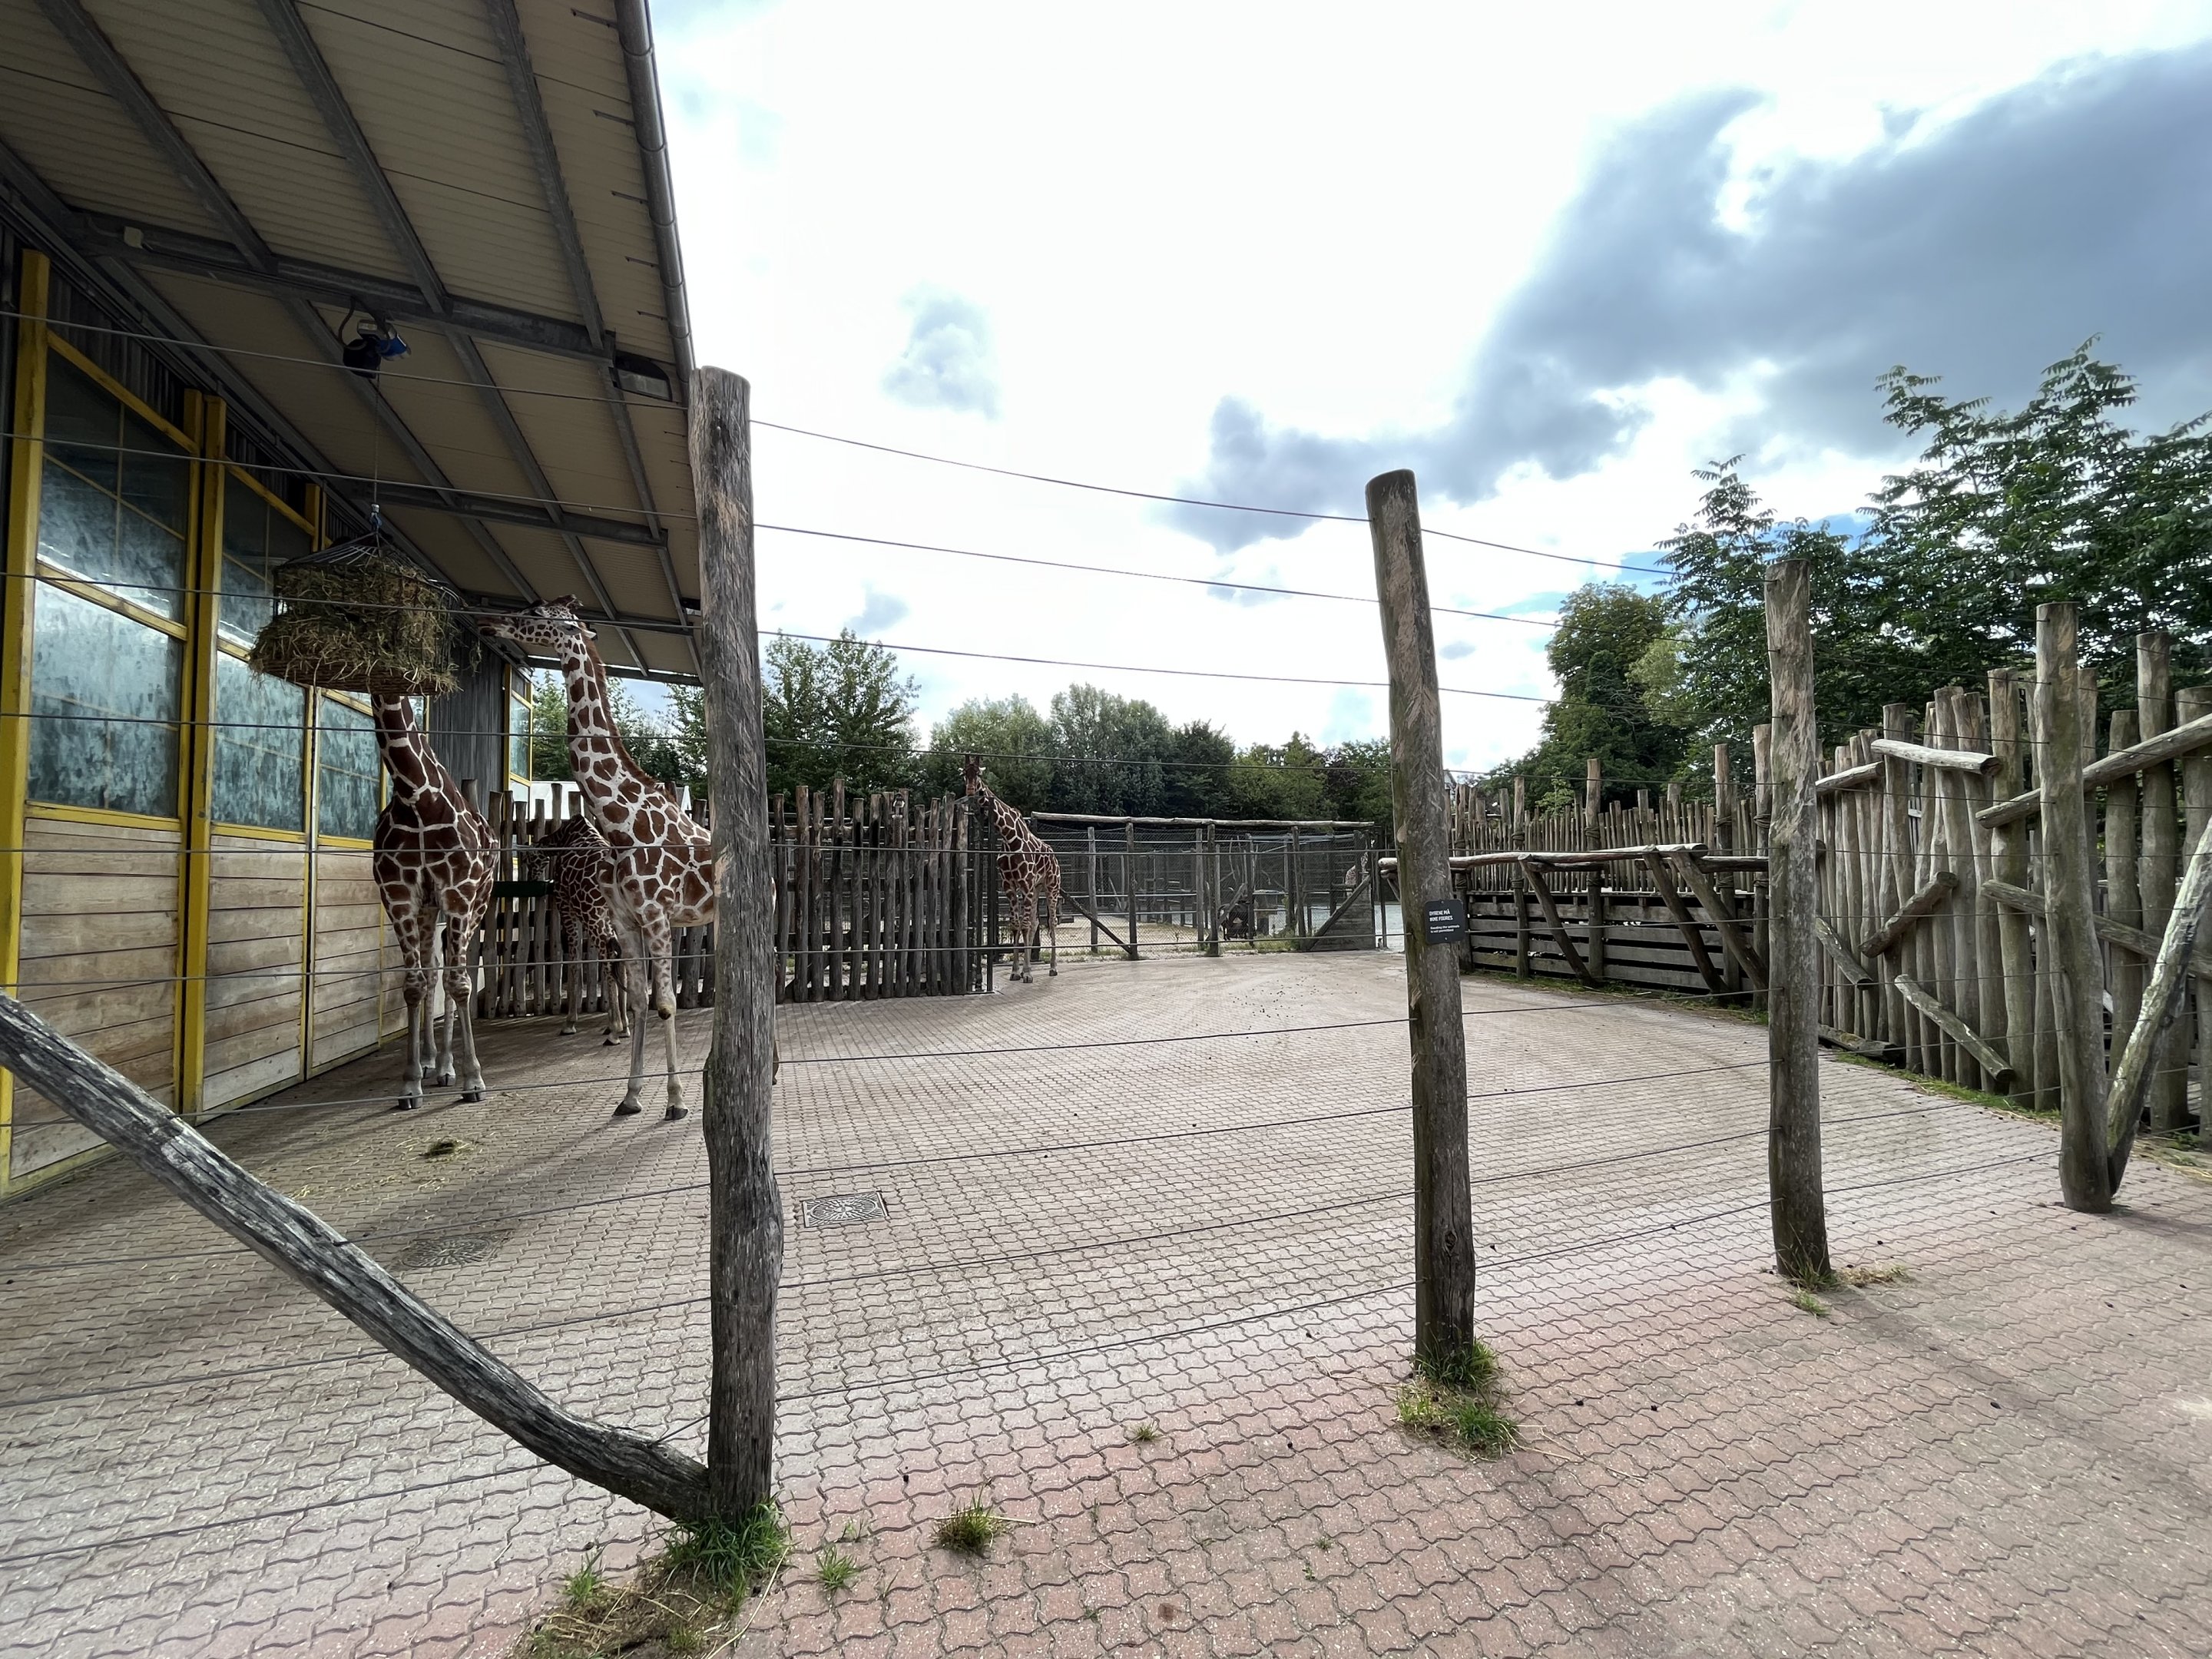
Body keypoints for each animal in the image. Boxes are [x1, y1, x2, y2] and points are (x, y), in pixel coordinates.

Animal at [370, 694, 496, 1109]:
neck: (416, 797)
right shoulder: (398, 893)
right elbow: (414, 983)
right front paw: (409, 1084)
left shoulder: (458, 889)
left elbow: (460, 983)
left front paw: (473, 1079)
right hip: (428, 909)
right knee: (431, 968)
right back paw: (429, 1062)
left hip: (478, 902)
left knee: (455, 970)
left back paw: (446, 1066)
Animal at [517, 811, 629, 1044]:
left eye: (529, 859)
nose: (532, 878)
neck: (563, 838)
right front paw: (618, 1024)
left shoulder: (566, 905)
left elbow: (575, 959)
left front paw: (570, 1023)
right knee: (619, 956)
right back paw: (622, 1027)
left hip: (593, 914)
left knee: (609, 955)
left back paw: (615, 1031)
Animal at [962, 754, 1061, 982]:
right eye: (964, 773)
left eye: (978, 774)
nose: (970, 792)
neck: (1008, 837)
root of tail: (1054, 855)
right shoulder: (1009, 885)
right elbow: (1016, 925)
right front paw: (1016, 971)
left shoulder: (1025, 883)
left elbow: (1024, 925)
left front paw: (1028, 973)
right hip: (1036, 889)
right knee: (1035, 923)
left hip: (1051, 886)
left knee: (1051, 922)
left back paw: (1053, 968)